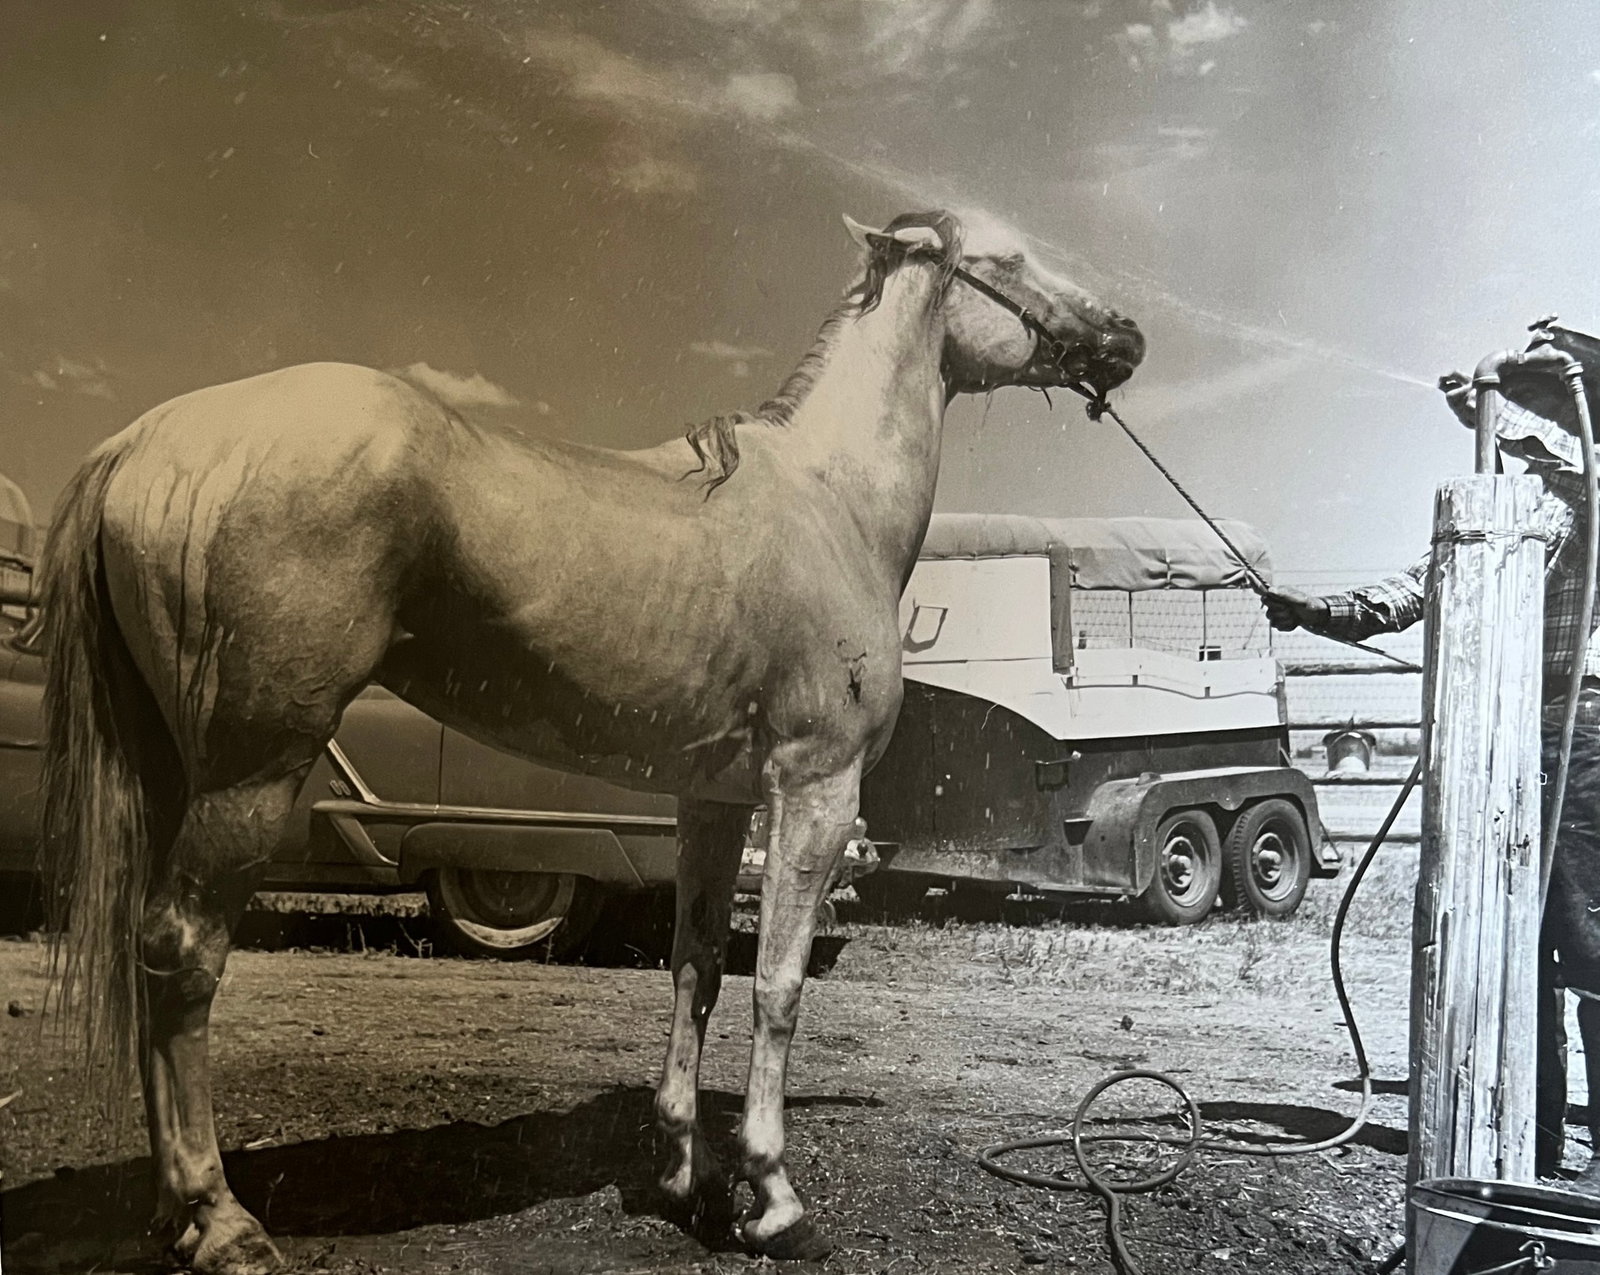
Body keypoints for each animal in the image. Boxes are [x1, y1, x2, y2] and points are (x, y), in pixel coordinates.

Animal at [37, 208, 1143, 1273]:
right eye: (1012, 256)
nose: (1125, 336)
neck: (827, 502)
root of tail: (142, 441)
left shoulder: (713, 802)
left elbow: (696, 969)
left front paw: (685, 1179)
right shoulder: (813, 789)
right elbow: (777, 987)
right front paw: (773, 1202)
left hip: (176, 772)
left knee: (148, 952)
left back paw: (173, 1218)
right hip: (251, 772)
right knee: (183, 951)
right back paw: (221, 1221)